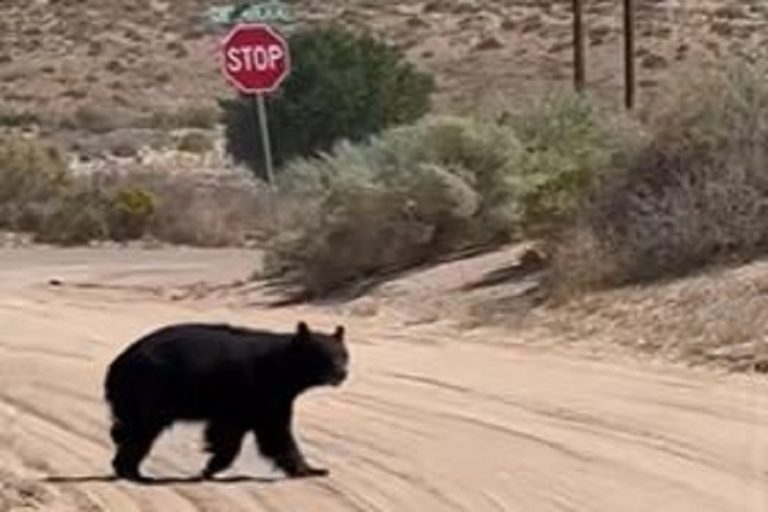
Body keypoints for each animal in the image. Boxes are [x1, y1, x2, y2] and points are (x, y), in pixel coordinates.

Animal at [104, 320, 348, 482]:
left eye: (343, 355)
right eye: (324, 355)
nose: (342, 373)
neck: (283, 369)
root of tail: (116, 364)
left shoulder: (270, 398)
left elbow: (267, 432)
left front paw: (312, 469)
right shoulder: (250, 388)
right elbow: (253, 432)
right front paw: (210, 468)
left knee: (130, 430)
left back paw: (130, 469)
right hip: (149, 388)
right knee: (141, 430)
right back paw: (132, 472)